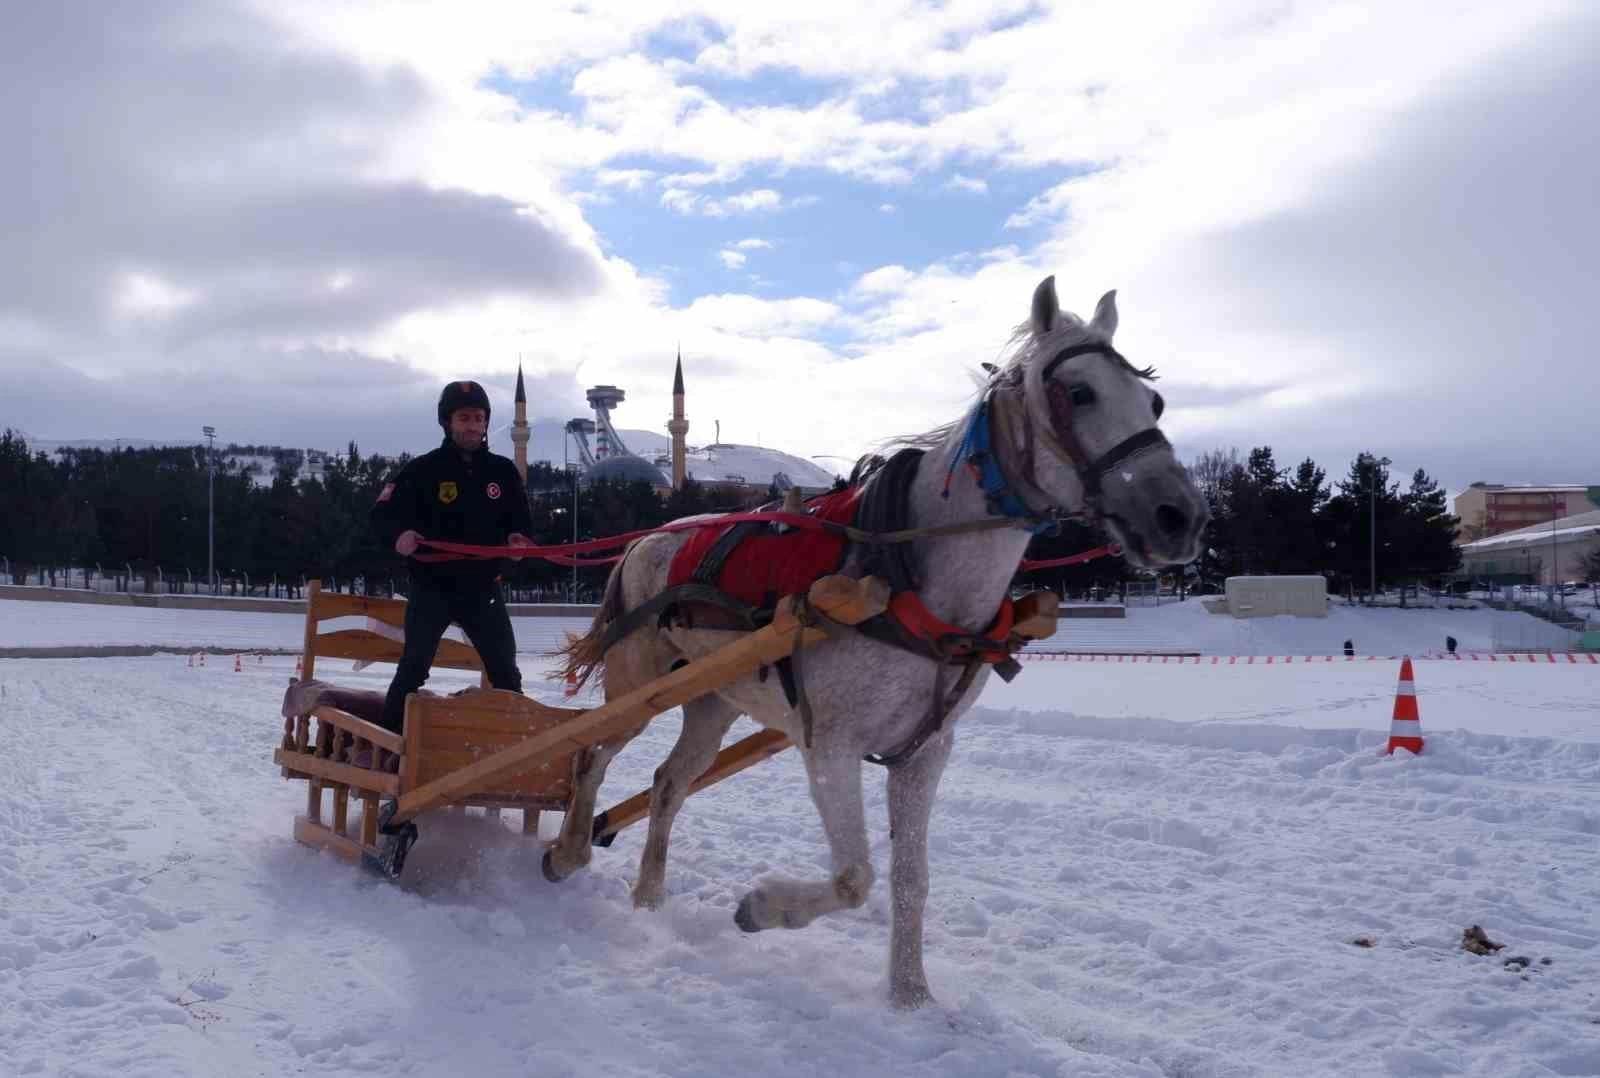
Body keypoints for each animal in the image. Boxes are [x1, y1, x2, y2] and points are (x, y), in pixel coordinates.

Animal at [556, 275, 1203, 998]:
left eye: (1154, 400)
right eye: (1080, 392)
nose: (1179, 516)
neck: (907, 574)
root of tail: (644, 539)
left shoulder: (924, 752)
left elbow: (909, 881)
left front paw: (910, 995)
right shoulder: (830, 745)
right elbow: (853, 877)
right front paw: (763, 907)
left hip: (713, 701)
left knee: (668, 783)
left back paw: (647, 899)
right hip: (636, 684)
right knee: (588, 755)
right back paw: (570, 850)